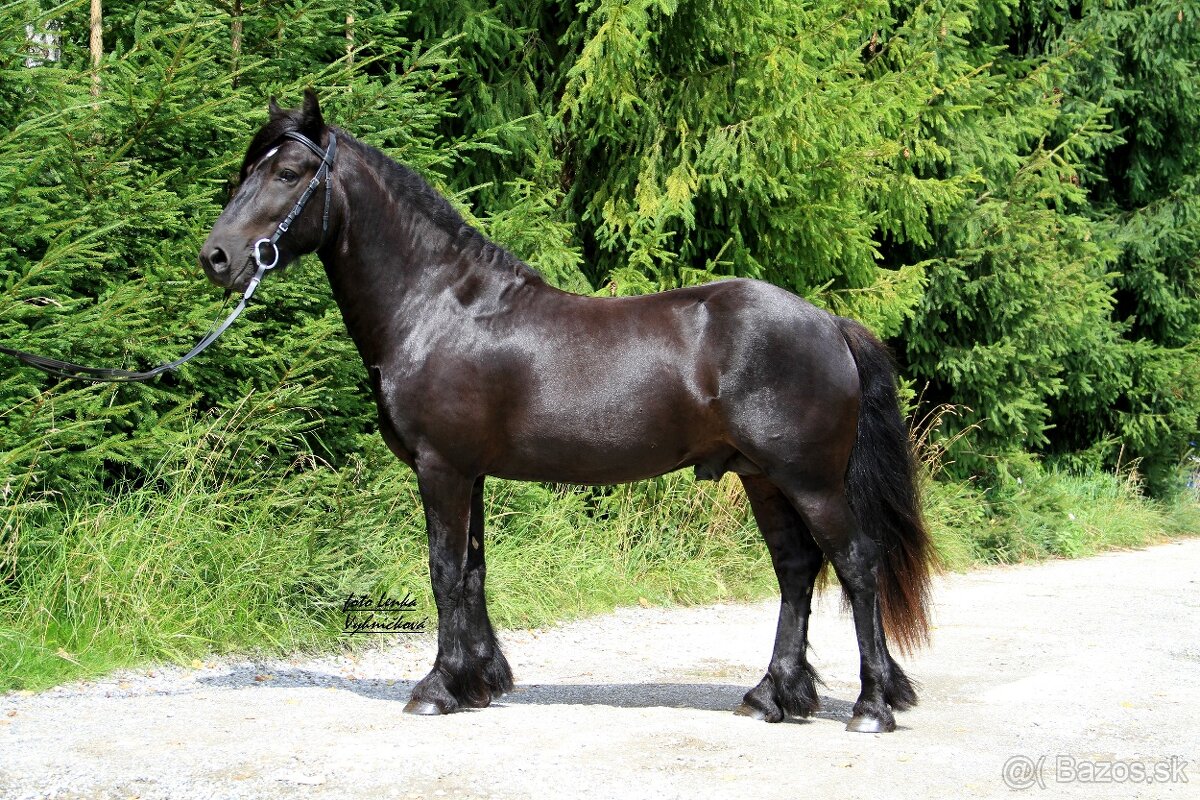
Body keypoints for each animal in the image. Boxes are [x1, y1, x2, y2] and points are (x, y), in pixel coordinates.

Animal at [199, 90, 935, 733]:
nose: (217, 257)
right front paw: (480, 681)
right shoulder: (471, 473)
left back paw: (871, 706)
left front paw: (437, 688)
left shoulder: (441, 468)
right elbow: (472, 571)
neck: (438, 308)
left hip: (810, 480)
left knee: (856, 565)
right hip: (763, 478)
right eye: (247, 170)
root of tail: (831, 324)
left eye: (288, 172)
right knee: (796, 571)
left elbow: (443, 572)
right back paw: (773, 695)